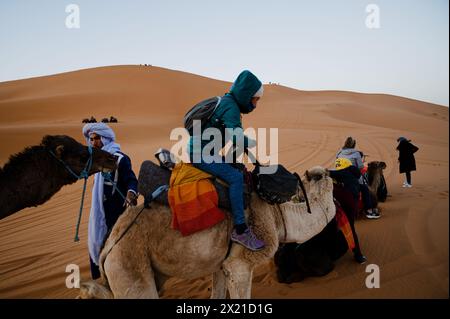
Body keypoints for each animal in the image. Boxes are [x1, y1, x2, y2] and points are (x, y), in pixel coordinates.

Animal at [79, 166, 336, 298]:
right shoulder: (240, 265)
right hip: (128, 267)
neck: (277, 215)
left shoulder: (222, 265)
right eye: (318, 176)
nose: (327, 170)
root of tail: (108, 247)